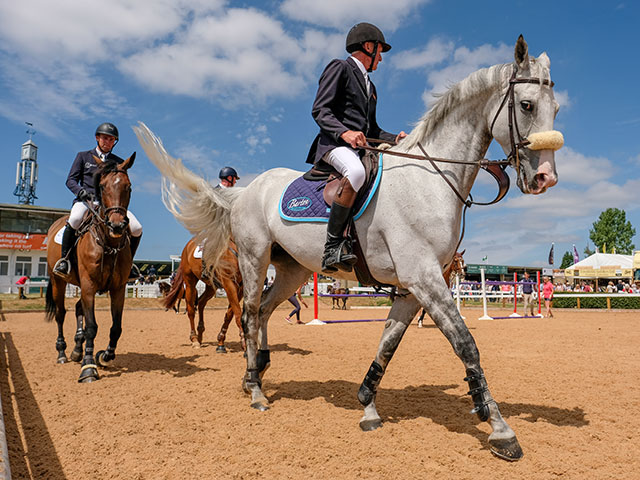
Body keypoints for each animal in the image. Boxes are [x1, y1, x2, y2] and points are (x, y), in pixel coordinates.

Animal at [45, 154, 136, 382]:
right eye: (102, 187)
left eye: (129, 187)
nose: (117, 226)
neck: (109, 243)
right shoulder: (88, 284)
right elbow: (92, 326)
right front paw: (88, 367)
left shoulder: (118, 288)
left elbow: (116, 327)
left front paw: (104, 355)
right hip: (59, 281)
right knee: (61, 314)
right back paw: (62, 352)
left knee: (79, 309)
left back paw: (77, 349)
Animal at [135, 35, 560, 460]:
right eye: (526, 105)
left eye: (555, 108)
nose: (546, 179)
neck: (430, 180)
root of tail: (246, 191)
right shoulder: (423, 279)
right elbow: (466, 344)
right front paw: (500, 428)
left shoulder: (413, 287)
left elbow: (388, 344)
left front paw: (368, 404)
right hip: (253, 259)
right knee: (250, 314)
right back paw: (255, 388)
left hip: (293, 270)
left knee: (268, 310)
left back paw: (257, 371)